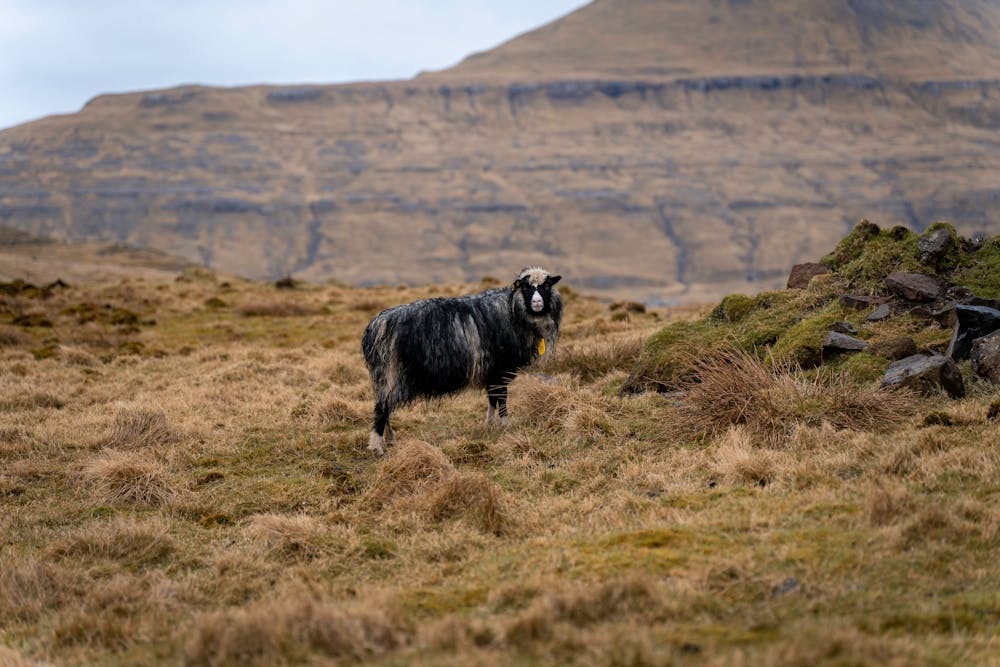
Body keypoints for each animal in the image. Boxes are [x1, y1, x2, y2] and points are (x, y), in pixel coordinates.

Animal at [360, 268, 564, 456]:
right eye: (526, 287)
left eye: (547, 286)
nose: (537, 303)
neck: (512, 309)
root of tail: (378, 325)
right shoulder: (501, 369)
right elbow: (502, 398)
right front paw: (505, 427)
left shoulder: (492, 372)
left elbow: (492, 399)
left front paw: (489, 426)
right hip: (394, 374)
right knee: (382, 408)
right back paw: (377, 447)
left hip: (384, 377)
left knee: (384, 406)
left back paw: (390, 440)